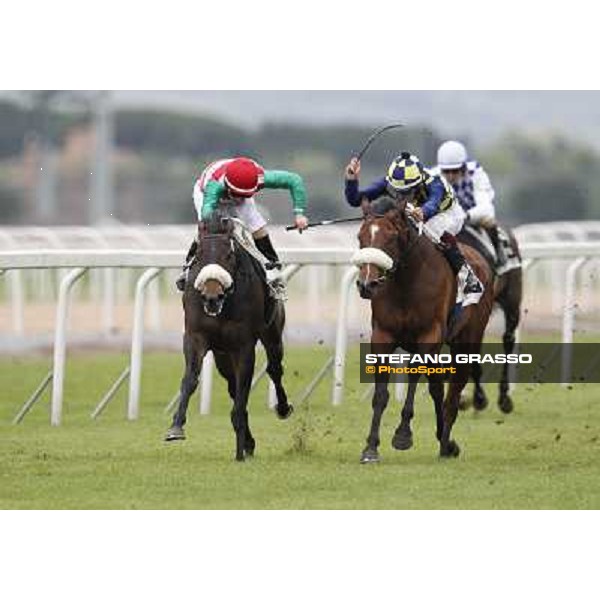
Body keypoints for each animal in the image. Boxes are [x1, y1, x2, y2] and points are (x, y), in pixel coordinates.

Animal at [163, 209, 294, 462]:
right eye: (199, 253)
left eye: (229, 254)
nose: (212, 296)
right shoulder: (195, 337)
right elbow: (191, 379)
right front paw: (176, 426)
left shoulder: (243, 345)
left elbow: (244, 389)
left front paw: (240, 450)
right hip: (222, 354)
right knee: (233, 386)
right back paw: (249, 441)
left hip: (272, 334)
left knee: (274, 368)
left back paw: (282, 409)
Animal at [354, 198, 494, 464]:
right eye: (360, 237)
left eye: (390, 238)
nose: (367, 284)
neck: (406, 282)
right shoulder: (383, 336)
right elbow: (381, 394)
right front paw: (370, 448)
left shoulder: (428, 336)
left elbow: (414, 378)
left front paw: (402, 435)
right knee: (437, 388)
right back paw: (445, 441)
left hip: (467, 340)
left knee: (453, 391)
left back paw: (446, 441)